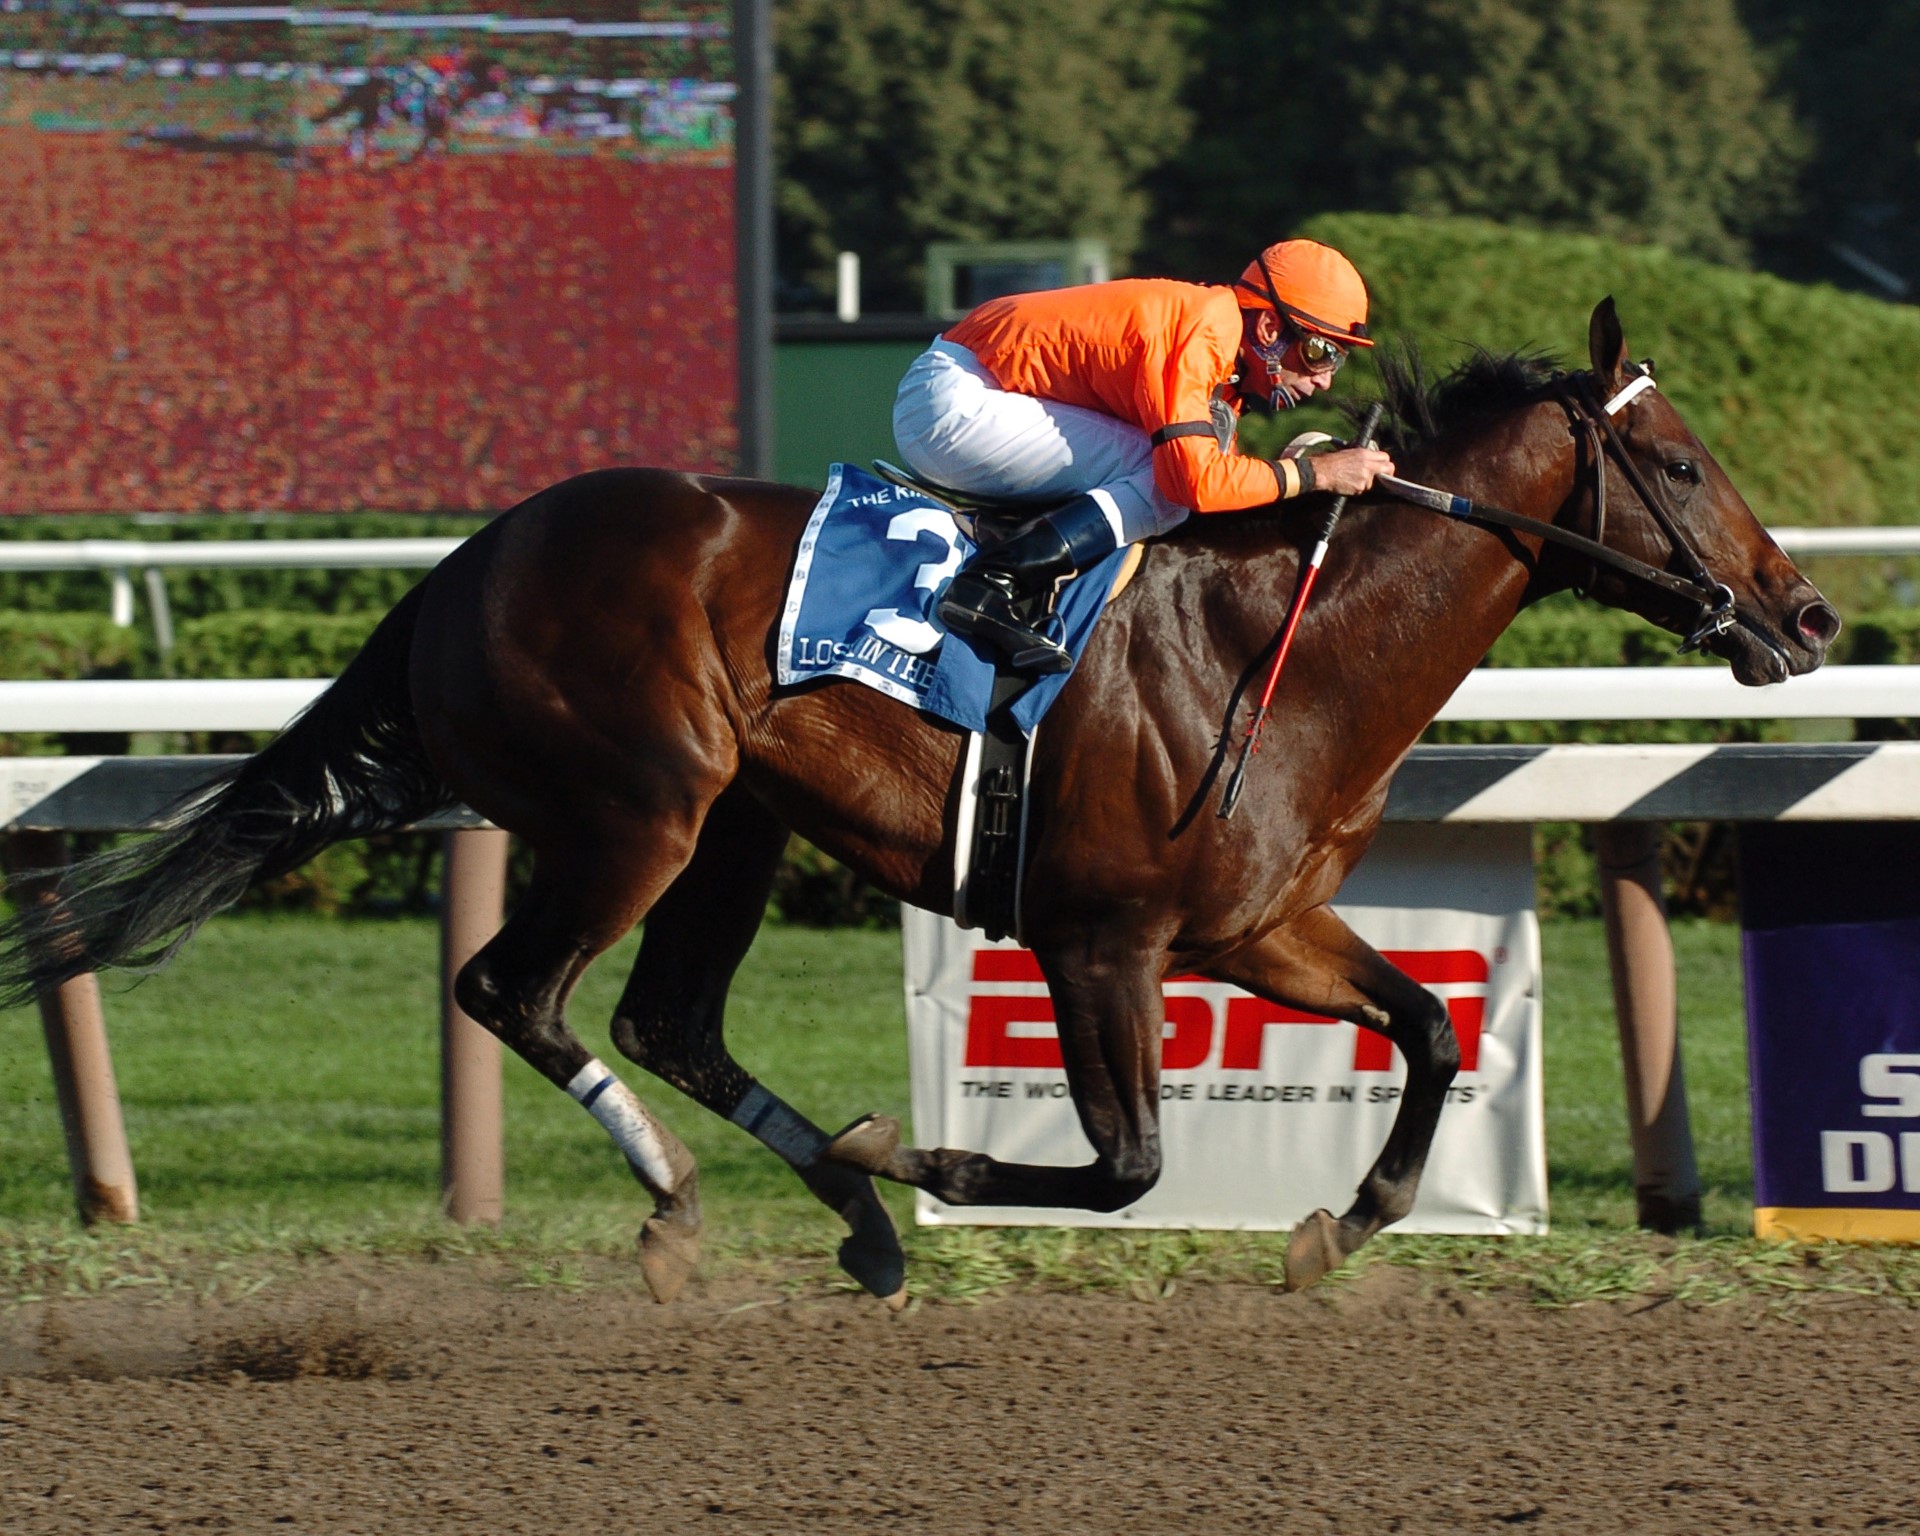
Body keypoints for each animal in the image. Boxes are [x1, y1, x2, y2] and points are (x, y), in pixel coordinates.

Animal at [0, 303, 1835, 1305]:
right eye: (1680, 466)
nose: (1809, 616)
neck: (1278, 639)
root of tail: (464, 564)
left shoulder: (1260, 928)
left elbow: (1435, 1029)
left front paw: (1350, 1222)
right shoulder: (1101, 939)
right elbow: (1124, 1165)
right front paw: (930, 1150)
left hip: (734, 822)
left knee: (666, 1017)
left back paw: (856, 1216)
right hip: (640, 809)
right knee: (515, 989)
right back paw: (702, 1196)